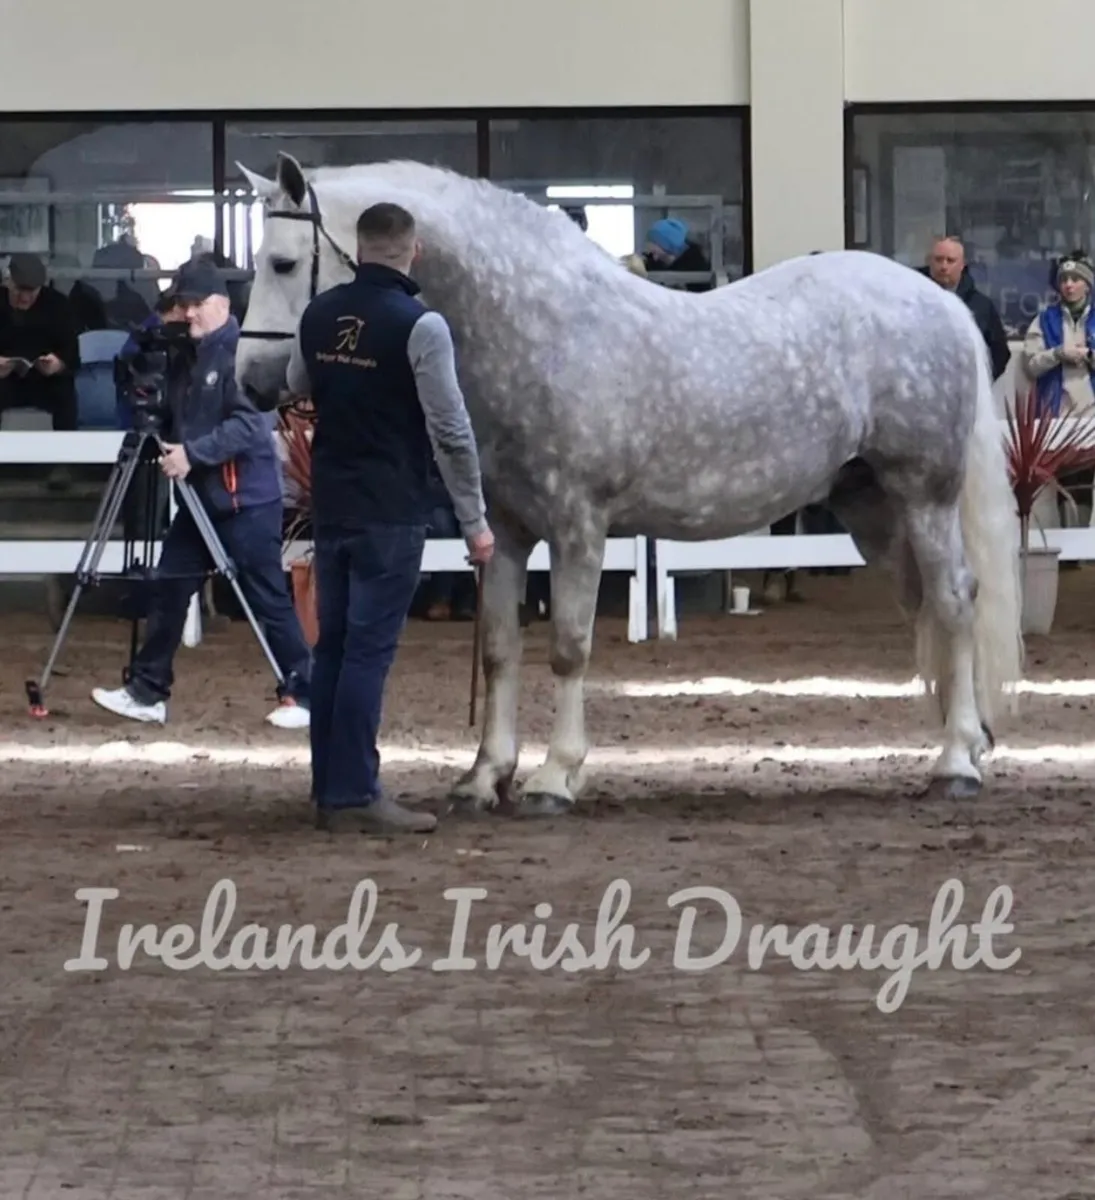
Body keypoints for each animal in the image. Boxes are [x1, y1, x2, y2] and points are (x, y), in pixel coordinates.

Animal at [234, 151, 1023, 818]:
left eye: (282, 262)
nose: (253, 382)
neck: (539, 333)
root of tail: (939, 301)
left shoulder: (578, 528)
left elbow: (569, 646)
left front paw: (554, 778)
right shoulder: (507, 533)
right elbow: (500, 649)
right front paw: (485, 777)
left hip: (923, 494)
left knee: (953, 601)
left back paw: (956, 762)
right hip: (870, 506)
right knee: (925, 606)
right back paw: (966, 739)